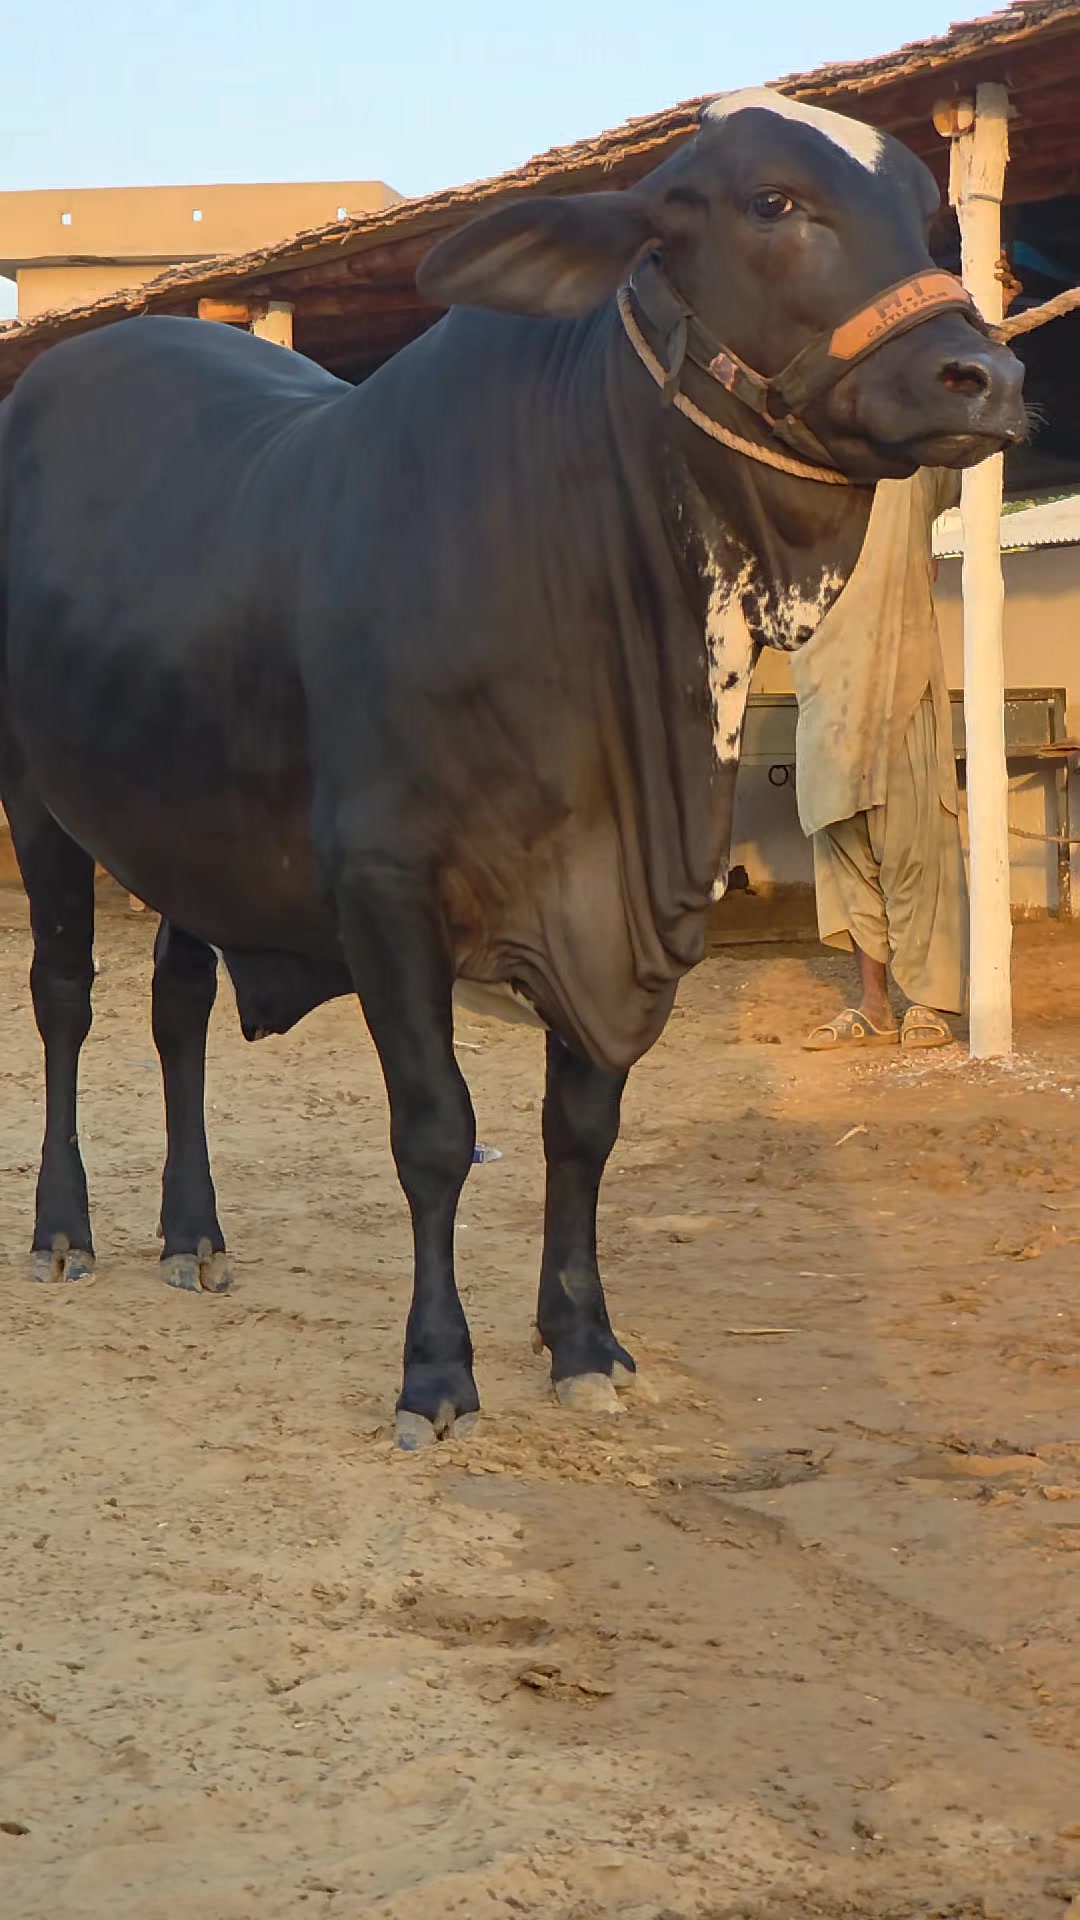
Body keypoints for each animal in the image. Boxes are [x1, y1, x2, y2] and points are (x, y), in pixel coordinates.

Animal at [0, 90, 1025, 1447]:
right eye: (772, 203)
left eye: (926, 214)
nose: (987, 376)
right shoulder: (385, 888)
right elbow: (438, 1130)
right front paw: (437, 1370)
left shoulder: (627, 911)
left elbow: (580, 1128)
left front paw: (582, 1339)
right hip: (39, 800)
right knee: (65, 997)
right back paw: (63, 1227)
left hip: (182, 820)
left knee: (178, 1005)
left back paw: (192, 1230)